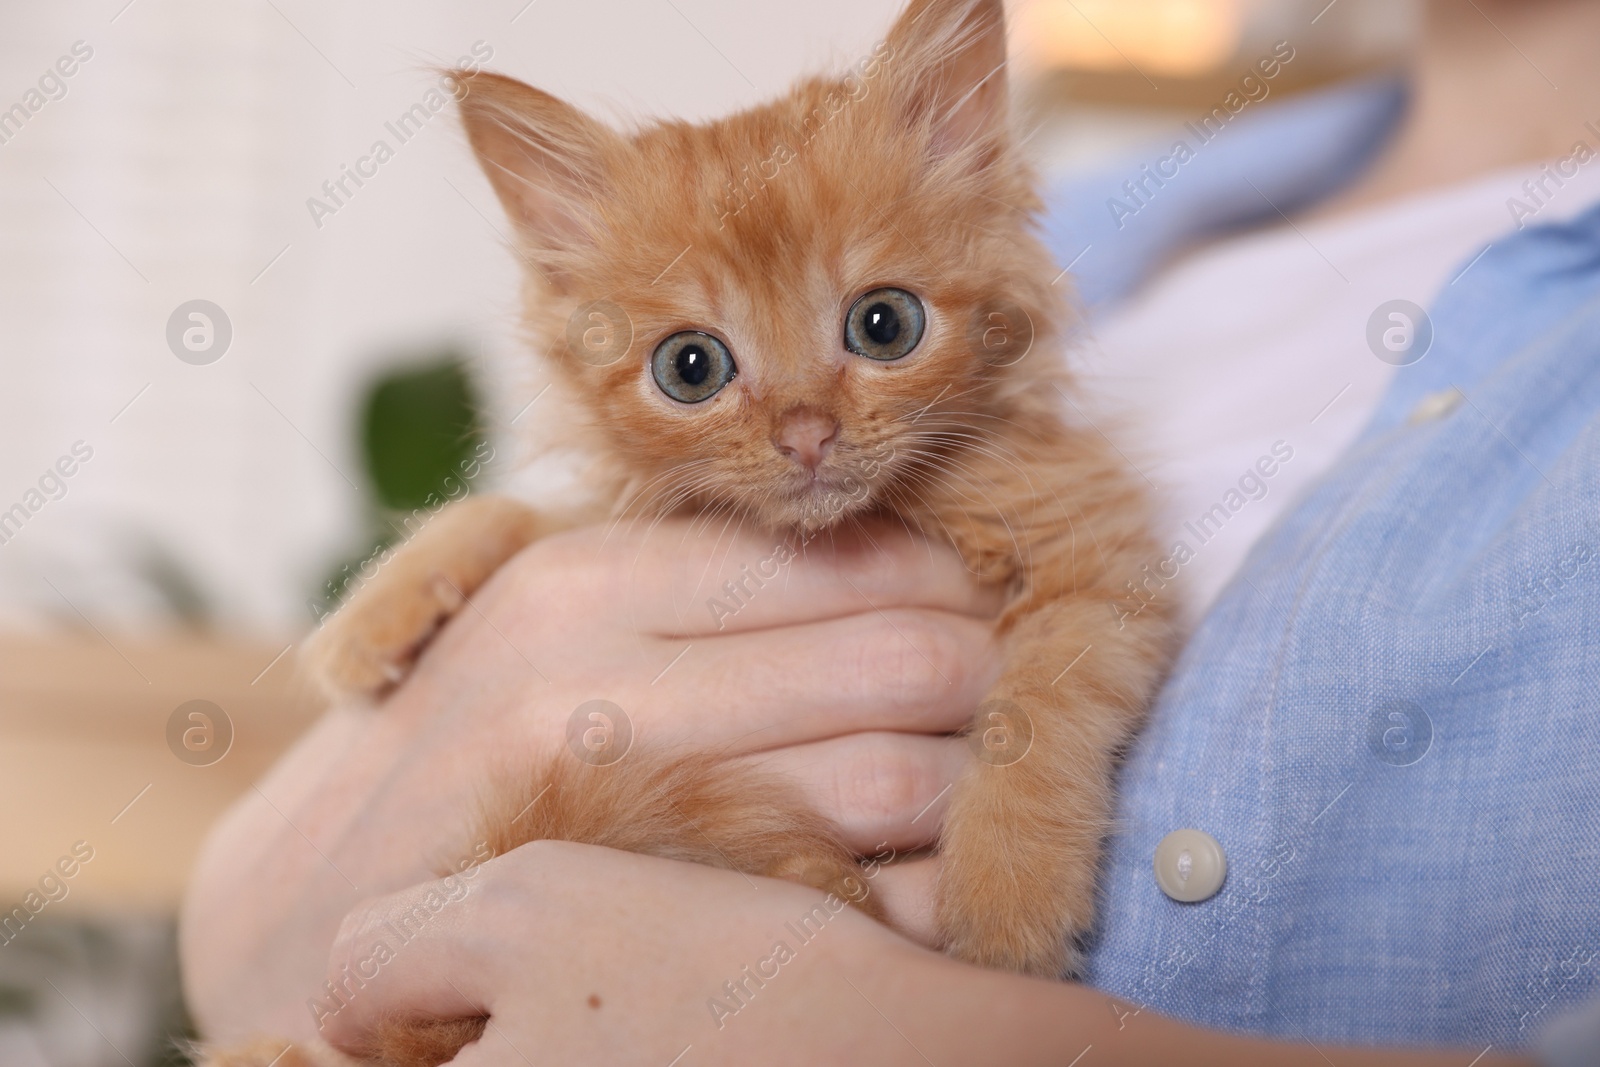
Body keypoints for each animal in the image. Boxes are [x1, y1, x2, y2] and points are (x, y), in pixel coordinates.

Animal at [206, 0, 1171, 1062]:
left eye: (885, 324)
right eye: (691, 367)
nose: (805, 432)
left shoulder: (1097, 561)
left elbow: (1032, 720)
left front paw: (1009, 901)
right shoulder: (627, 505)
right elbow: (526, 511)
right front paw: (377, 612)